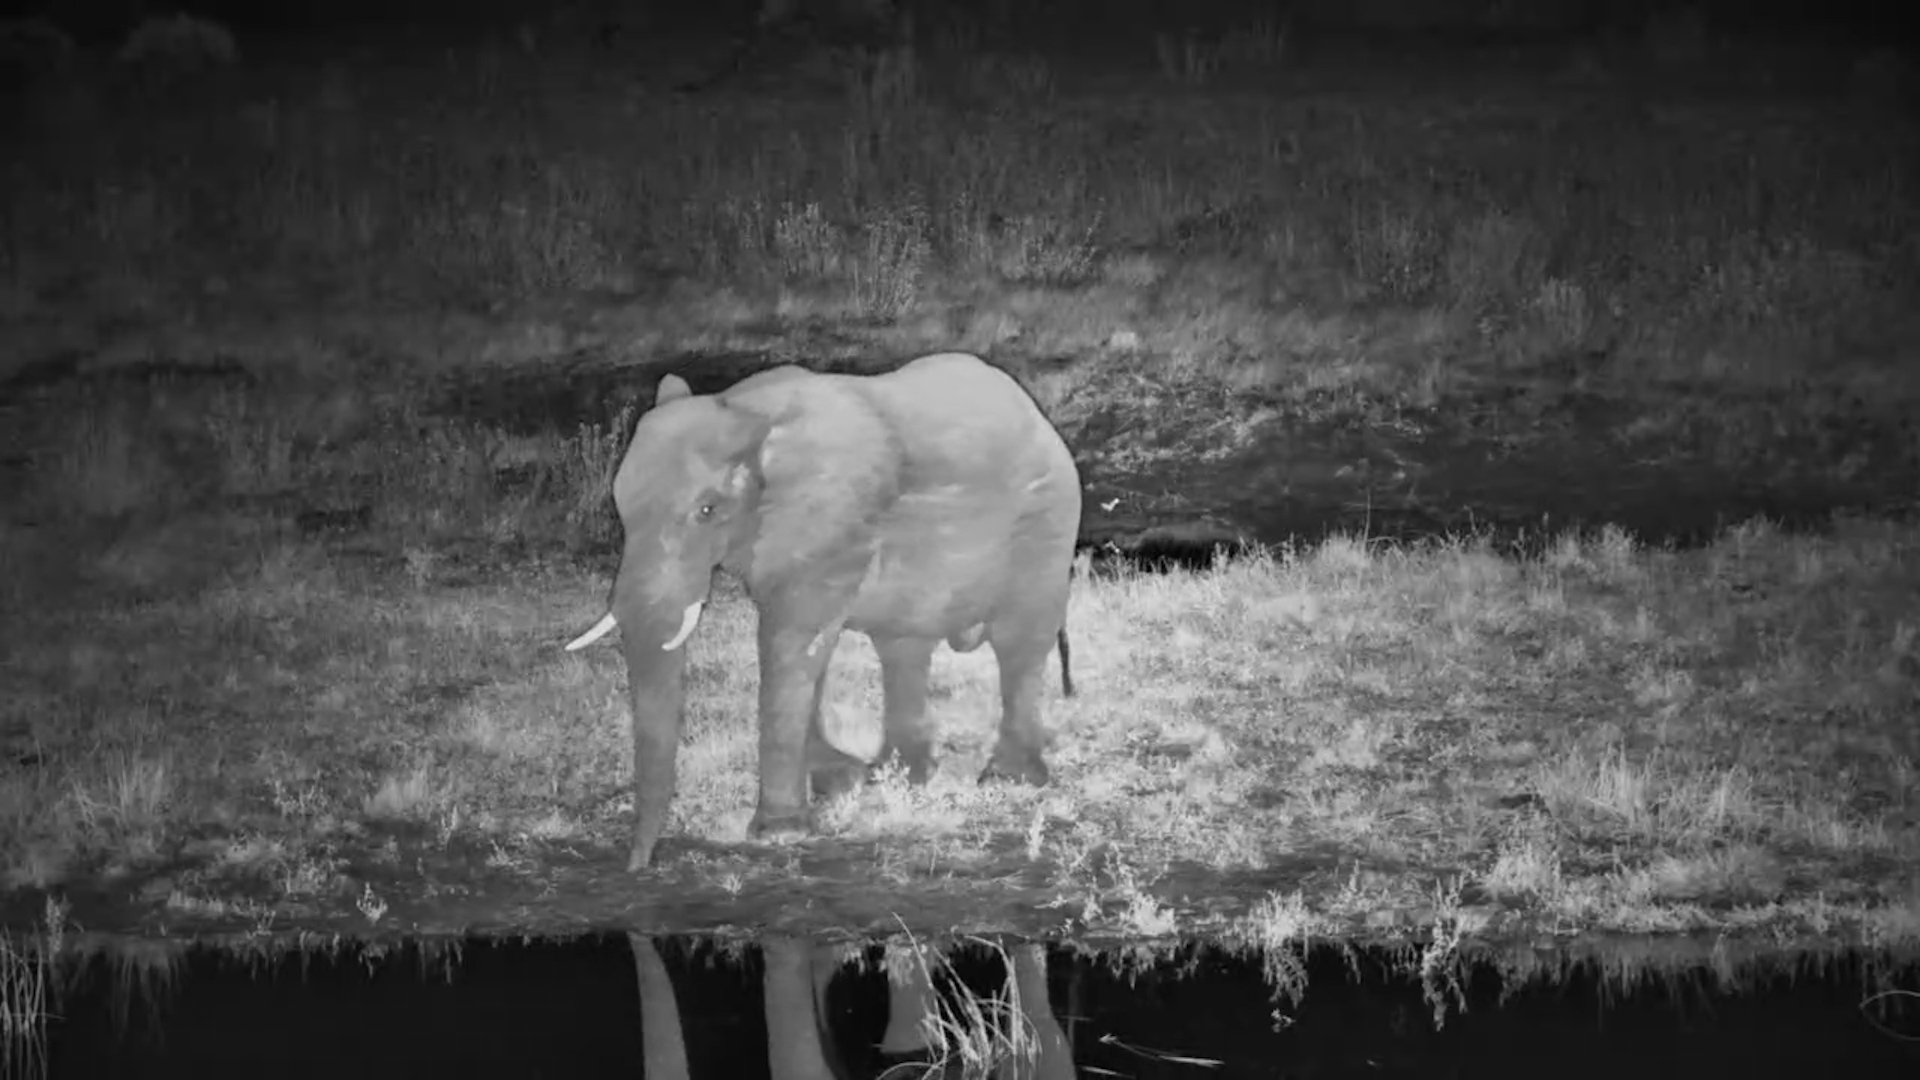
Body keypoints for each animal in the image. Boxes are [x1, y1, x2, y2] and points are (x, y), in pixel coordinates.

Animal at [567, 352, 1082, 870]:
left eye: (708, 510)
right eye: (620, 504)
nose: (636, 866)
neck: (748, 410)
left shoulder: (831, 523)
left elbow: (792, 641)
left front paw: (779, 834)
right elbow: (810, 643)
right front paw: (837, 783)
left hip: (1048, 523)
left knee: (1019, 643)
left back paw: (1007, 780)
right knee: (903, 646)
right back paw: (896, 774)